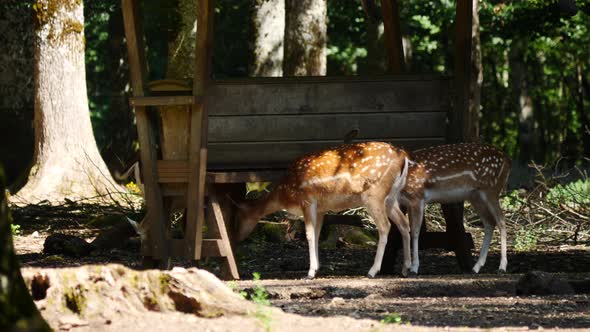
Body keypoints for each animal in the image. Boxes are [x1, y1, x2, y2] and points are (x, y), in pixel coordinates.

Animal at [235, 141, 412, 278]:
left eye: (239, 216)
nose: (236, 236)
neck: (286, 194)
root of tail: (403, 155)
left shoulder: (307, 200)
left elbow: (309, 234)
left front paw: (310, 272)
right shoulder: (321, 208)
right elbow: (317, 233)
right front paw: (317, 268)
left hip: (374, 194)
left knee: (385, 226)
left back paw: (373, 271)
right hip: (391, 197)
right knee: (404, 223)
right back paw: (406, 268)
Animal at [402, 143, 512, 274]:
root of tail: (507, 159)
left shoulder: (417, 197)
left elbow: (414, 232)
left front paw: (414, 268)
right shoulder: (407, 202)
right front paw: (406, 268)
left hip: (491, 189)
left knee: (501, 220)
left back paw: (502, 267)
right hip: (475, 196)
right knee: (490, 222)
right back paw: (476, 267)